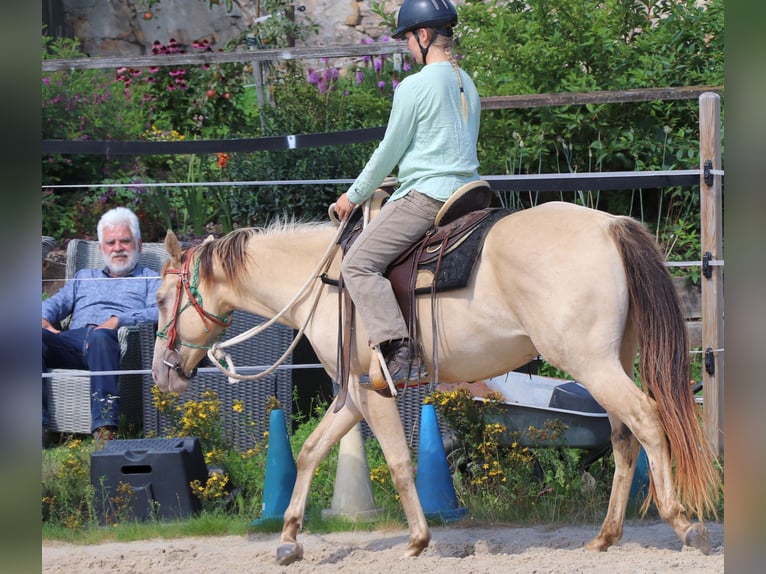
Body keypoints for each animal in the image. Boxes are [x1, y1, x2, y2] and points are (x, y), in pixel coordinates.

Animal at [150, 200, 720, 564]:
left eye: (159, 299)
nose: (161, 372)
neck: (324, 281)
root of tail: (610, 226)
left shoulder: (370, 389)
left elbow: (399, 462)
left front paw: (418, 540)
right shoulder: (352, 396)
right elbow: (311, 450)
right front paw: (290, 537)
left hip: (592, 363)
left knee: (647, 419)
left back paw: (683, 522)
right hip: (610, 361)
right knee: (625, 437)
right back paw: (605, 537)